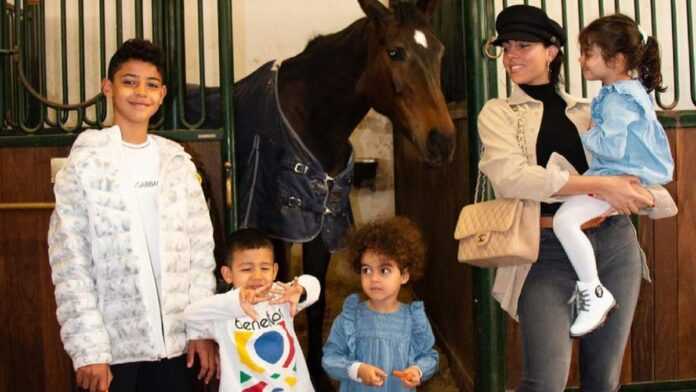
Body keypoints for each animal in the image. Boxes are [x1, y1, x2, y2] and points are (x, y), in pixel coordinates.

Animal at [188, 0, 454, 382]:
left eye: (439, 51)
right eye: (395, 51)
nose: (442, 142)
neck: (312, 119)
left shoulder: (320, 224)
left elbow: (315, 299)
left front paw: (317, 369)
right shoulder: (280, 228)